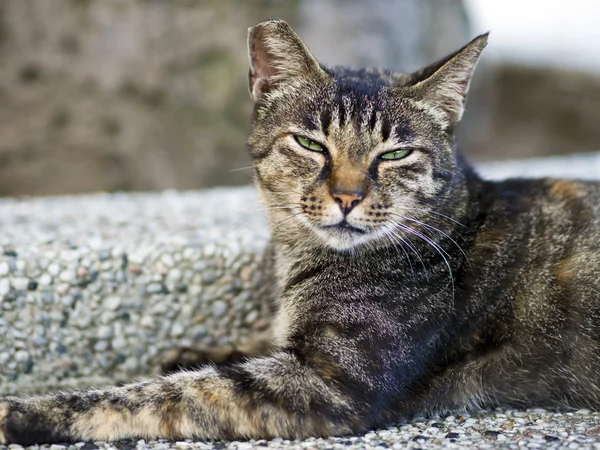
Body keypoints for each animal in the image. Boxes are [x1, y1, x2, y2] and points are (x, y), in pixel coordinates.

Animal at [1, 18, 600, 446]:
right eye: (311, 144)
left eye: (396, 154)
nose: (348, 196)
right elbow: (245, 347)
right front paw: (199, 350)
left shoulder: (331, 381)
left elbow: (163, 396)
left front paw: (29, 411)